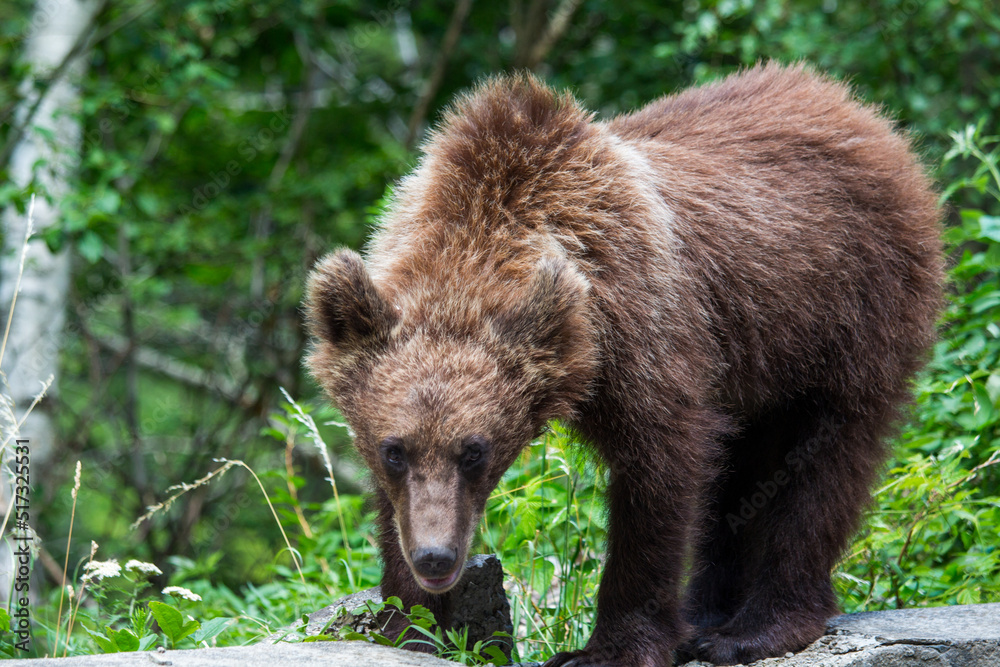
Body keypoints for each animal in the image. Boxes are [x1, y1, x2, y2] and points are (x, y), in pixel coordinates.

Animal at [304, 63, 943, 667]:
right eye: (395, 450)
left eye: (475, 450)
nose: (436, 557)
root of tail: (861, 111)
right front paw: (406, 621)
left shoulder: (645, 331)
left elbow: (659, 474)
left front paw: (609, 647)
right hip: (756, 357)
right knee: (742, 470)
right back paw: (707, 614)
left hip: (845, 312)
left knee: (823, 461)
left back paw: (755, 629)